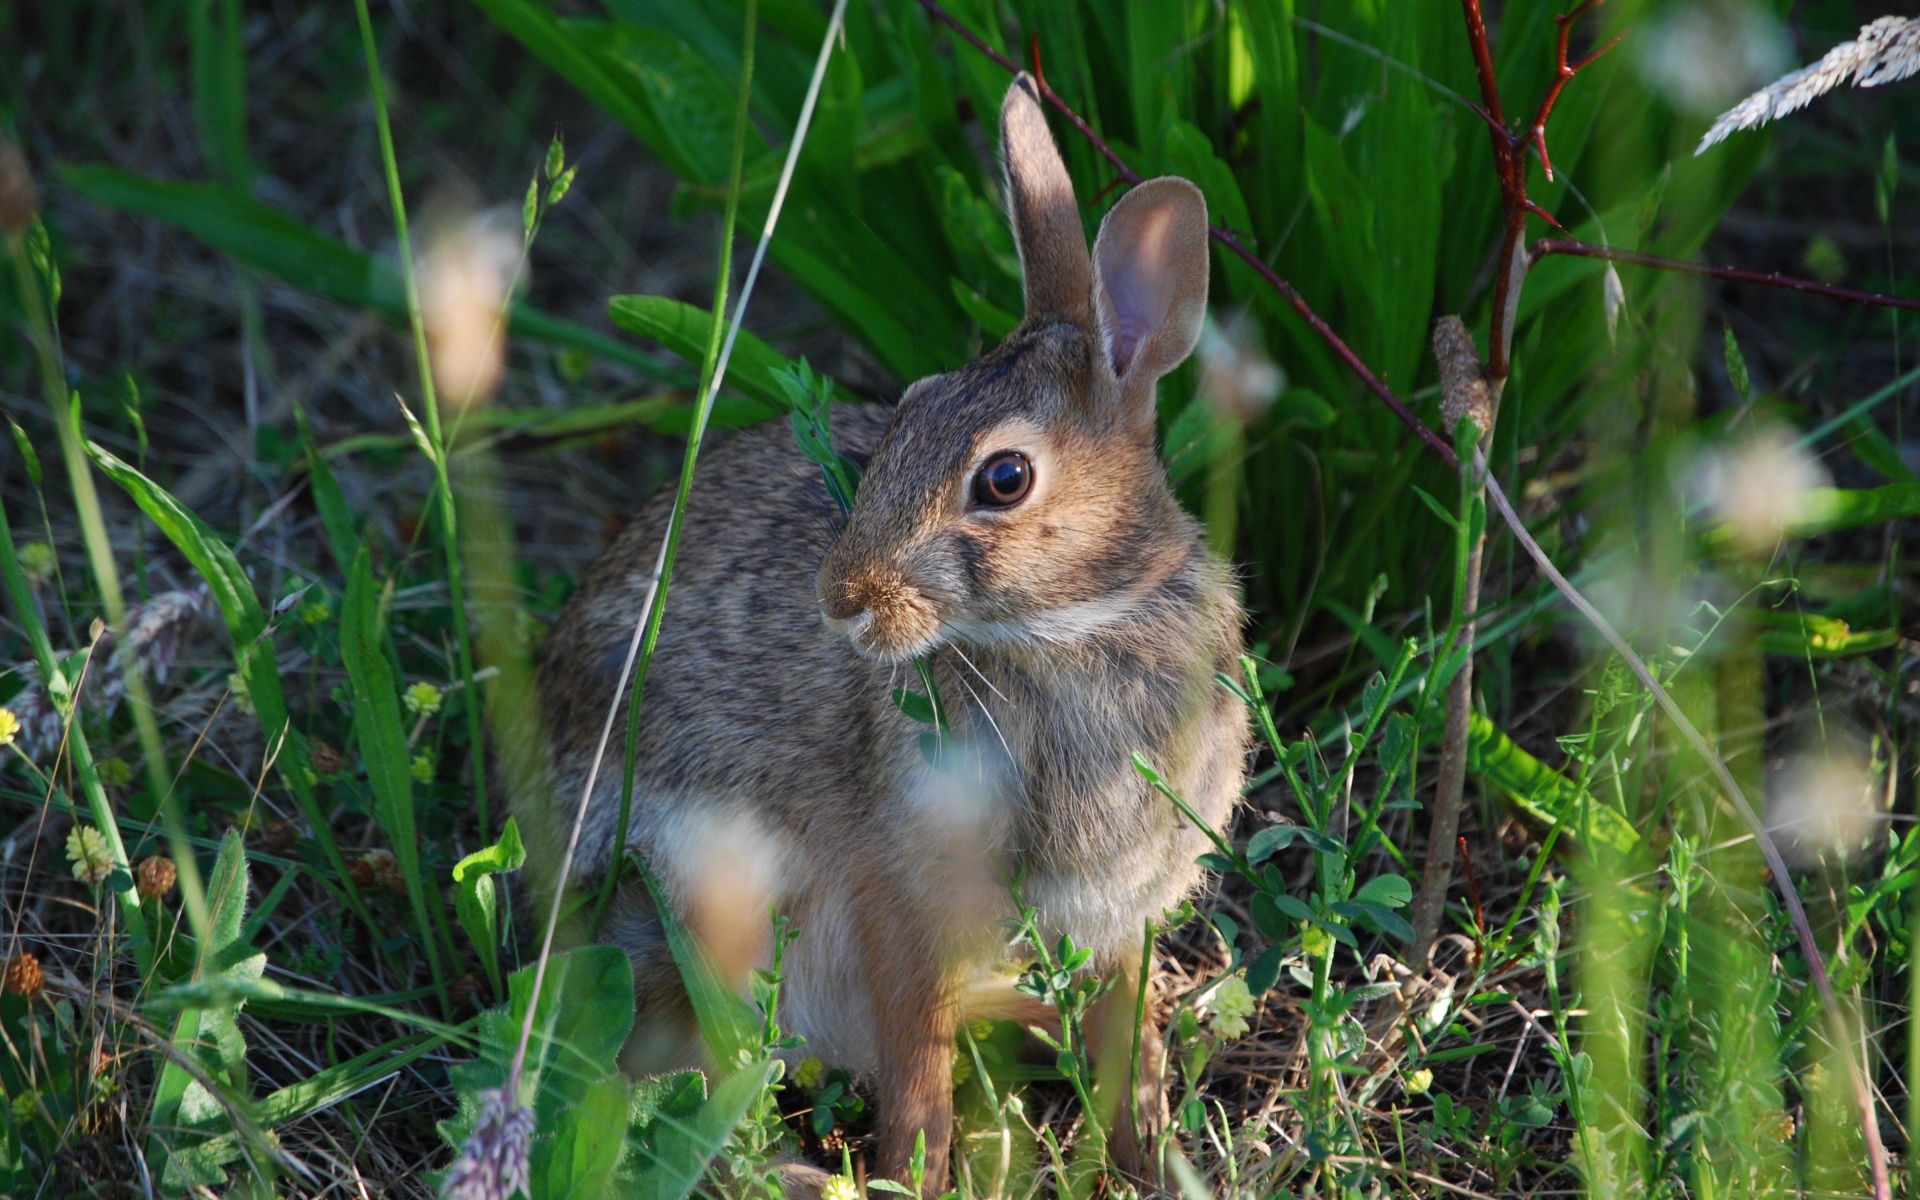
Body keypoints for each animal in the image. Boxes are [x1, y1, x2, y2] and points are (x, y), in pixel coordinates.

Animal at [531, 73, 1249, 1193]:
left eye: (1004, 478)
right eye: (907, 410)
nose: (842, 598)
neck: (1070, 629)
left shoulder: (1121, 906)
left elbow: (1121, 1032)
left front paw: (1147, 1150)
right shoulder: (900, 894)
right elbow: (917, 1056)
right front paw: (915, 1171)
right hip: (708, 895)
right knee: (682, 1077)